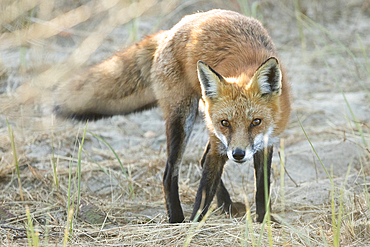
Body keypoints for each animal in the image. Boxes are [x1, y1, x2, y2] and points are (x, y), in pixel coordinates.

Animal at [55, 9, 292, 223]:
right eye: (225, 123)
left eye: (256, 122)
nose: (238, 154)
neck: (245, 69)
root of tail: (175, 27)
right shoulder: (219, 141)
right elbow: (203, 192)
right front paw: (192, 229)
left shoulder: (265, 143)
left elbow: (262, 189)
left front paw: (264, 222)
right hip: (182, 118)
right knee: (170, 173)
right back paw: (177, 219)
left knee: (201, 159)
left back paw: (226, 205)